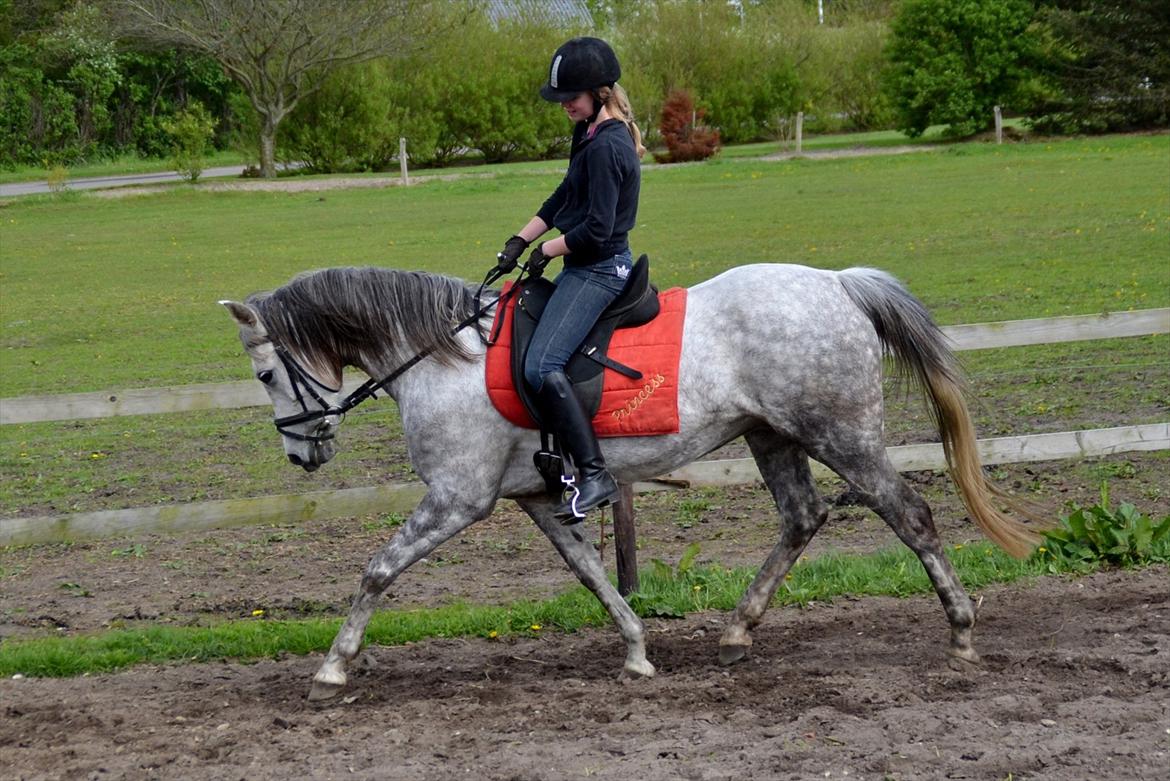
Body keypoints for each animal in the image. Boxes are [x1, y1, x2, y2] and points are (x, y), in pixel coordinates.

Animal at [221, 264, 1043, 701]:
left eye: (264, 374)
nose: (301, 455)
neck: (443, 358)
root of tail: (840, 285)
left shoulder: (458, 499)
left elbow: (378, 570)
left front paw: (333, 666)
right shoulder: (540, 500)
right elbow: (591, 574)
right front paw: (639, 650)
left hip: (842, 435)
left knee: (911, 513)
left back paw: (961, 631)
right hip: (772, 436)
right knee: (802, 517)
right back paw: (737, 631)